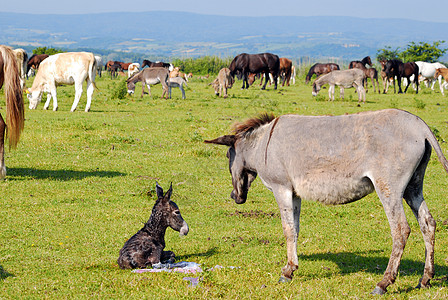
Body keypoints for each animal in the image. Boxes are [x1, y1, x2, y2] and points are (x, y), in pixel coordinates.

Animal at [206, 108, 448, 296]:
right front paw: (292, 268)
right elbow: (295, 229)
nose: (235, 197)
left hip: (388, 188)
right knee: (428, 224)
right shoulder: (294, 193)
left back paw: (383, 283)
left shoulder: (281, 188)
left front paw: (286, 272)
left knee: (400, 229)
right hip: (412, 187)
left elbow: (287, 229)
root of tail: (419, 125)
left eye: (228, 156)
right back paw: (425, 279)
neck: (263, 144)